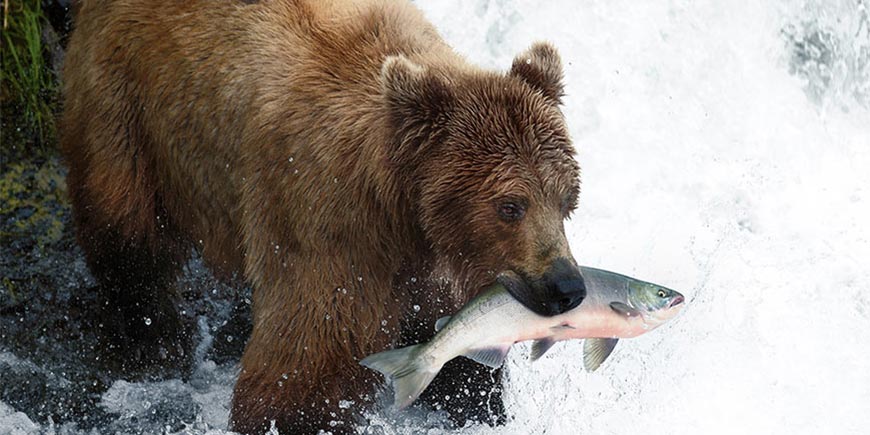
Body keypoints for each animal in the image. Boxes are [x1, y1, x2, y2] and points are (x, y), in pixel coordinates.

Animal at [63, 0, 584, 435]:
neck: (403, 207)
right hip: (126, 108)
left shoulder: (435, 266)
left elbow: (453, 352)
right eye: (510, 205)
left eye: (567, 200)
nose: (567, 287)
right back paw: (153, 340)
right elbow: (306, 364)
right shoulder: (329, 226)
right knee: (126, 233)